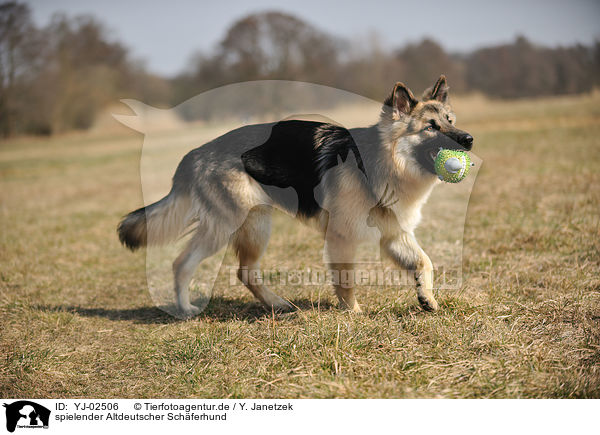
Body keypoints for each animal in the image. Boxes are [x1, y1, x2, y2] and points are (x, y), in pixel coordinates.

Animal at [117, 76, 474, 318]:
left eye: (450, 122)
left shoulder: (394, 236)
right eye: (430, 127)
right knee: (186, 264)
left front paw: (426, 297)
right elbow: (346, 280)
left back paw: (276, 304)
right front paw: (354, 314)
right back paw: (186, 309)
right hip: (231, 227)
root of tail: (195, 153)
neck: (385, 163)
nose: (469, 140)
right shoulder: (342, 238)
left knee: (243, 272)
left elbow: (425, 262)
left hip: (253, 226)